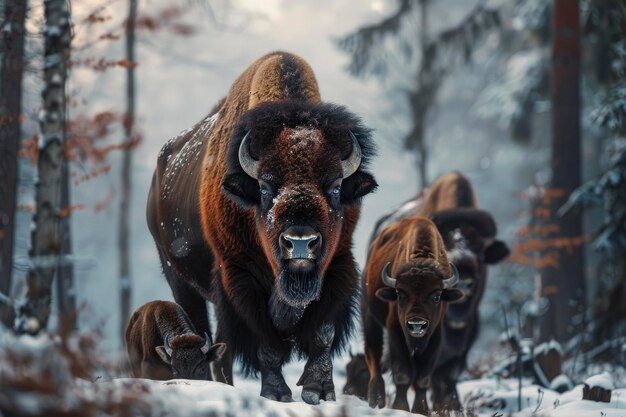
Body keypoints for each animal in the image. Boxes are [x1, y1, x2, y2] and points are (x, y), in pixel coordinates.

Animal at [146, 52, 376, 404]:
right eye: (265, 188)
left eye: (336, 187)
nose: (300, 243)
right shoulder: (239, 275)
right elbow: (265, 339)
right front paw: (276, 393)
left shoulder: (339, 265)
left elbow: (323, 332)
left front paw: (318, 389)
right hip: (180, 280)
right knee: (204, 336)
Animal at [360, 216, 464, 412]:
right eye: (400, 294)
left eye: (437, 296)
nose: (416, 324)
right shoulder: (396, 331)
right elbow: (403, 374)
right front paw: (400, 408)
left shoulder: (435, 335)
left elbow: (423, 378)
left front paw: (421, 410)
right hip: (369, 316)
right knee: (373, 353)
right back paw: (376, 399)